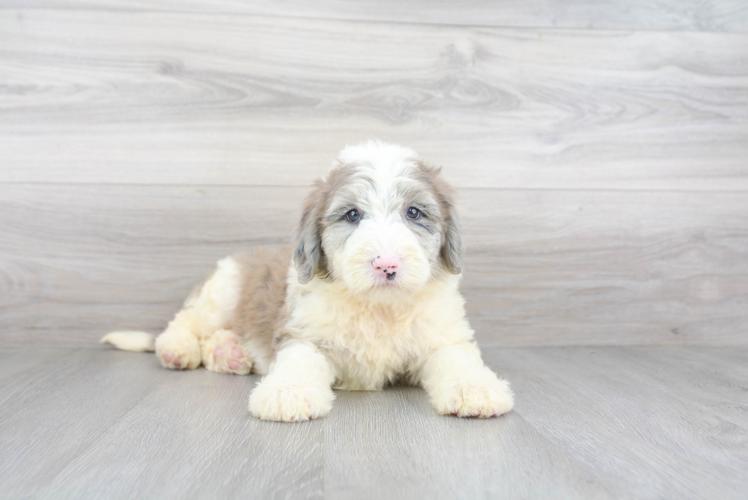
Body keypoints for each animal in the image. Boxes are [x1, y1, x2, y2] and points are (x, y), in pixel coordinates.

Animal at [102, 141, 516, 422]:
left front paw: (476, 388)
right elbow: (300, 360)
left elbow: (456, 358)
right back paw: (180, 349)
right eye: (352, 215)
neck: (378, 308)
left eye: (414, 213)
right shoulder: (303, 331)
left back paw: (230, 352)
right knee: (183, 324)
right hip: (224, 289)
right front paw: (288, 393)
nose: (386, 263)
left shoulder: (442, 335)